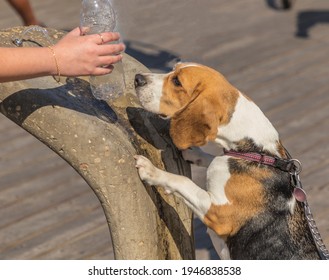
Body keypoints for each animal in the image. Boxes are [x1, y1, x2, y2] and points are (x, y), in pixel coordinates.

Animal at [132, 62, 320, 260]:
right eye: (173, 69)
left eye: (177, 81)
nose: (138, 78)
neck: (255, 150)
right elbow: (212, 158)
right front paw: (193, 153)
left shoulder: (218, 214)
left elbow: (182, 181)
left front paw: (151, 171)